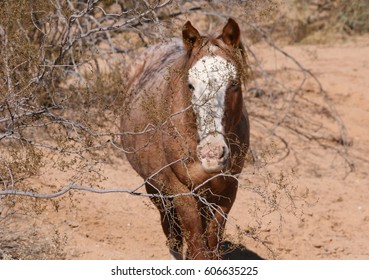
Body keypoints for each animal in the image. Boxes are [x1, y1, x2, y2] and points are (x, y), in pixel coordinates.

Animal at [121, 18, 250, 260]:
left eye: (234, 83)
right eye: (190, 85)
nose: (211, 154)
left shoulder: (227, 193)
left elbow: (211, 245)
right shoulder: (181, 193)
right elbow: (197, 247)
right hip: (156, 190)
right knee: (172, 231)